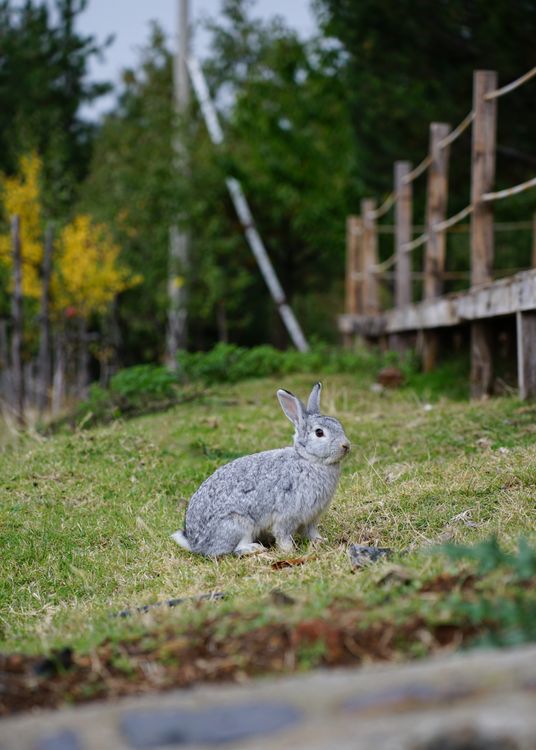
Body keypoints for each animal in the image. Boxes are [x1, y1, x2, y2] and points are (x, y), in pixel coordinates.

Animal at [171, 382, 350, 557]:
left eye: (338, 424)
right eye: (319, 433)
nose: (346, 445)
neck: (309, 459)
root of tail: (196, 544)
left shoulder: (311, 517)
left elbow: (311, 532)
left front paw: (321, 541)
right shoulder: (287, 515)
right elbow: (283, 534)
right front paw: (289, 551)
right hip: (238, 524)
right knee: (234, 550)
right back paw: (255, 549)